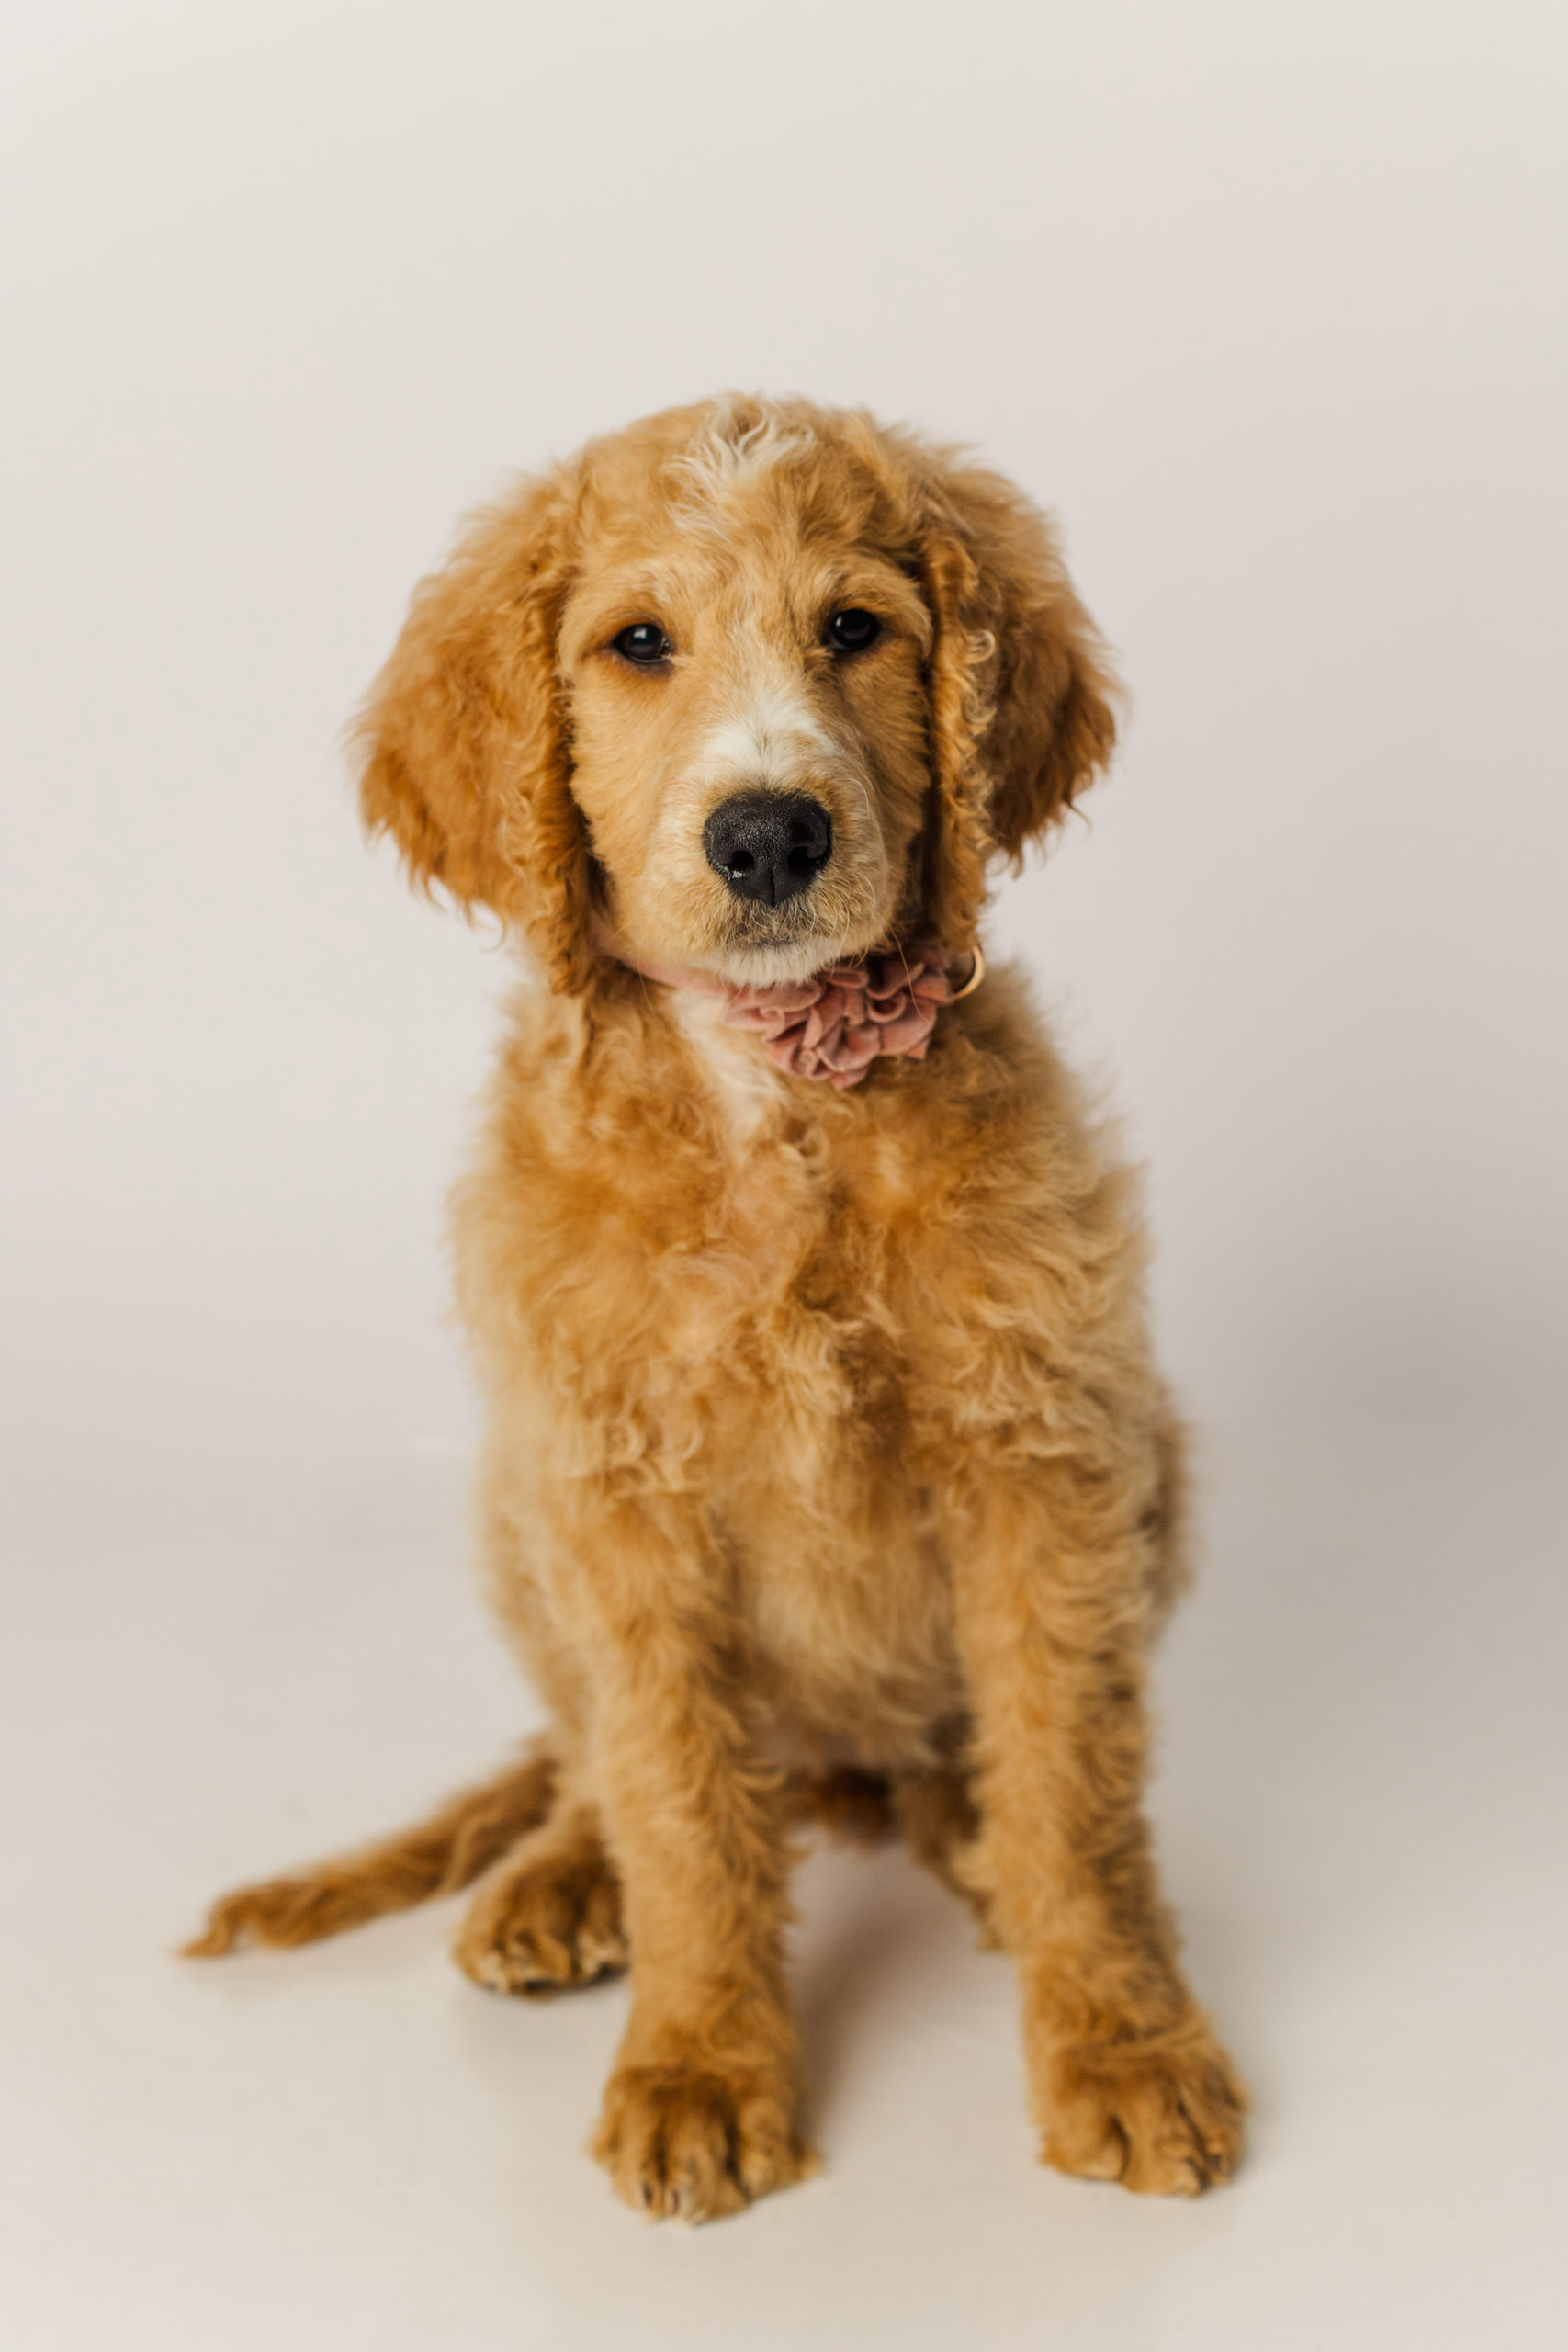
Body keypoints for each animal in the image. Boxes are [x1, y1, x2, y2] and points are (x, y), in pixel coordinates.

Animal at [184, 390, 1241, 2220]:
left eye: (855, 630)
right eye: (636, 645)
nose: (766, 833)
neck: (773, 1089)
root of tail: (829, 1763)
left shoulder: (1041, 1450)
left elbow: (1070, 1771)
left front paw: (1116, 2038)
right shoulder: (621, 1497)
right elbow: (673, 1792)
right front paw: (694, 2065)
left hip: (1142, 1461)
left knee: (956, 1758)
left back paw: (956, 1827)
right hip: (518, 1507)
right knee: (585, 1758)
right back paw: (560, 1879)